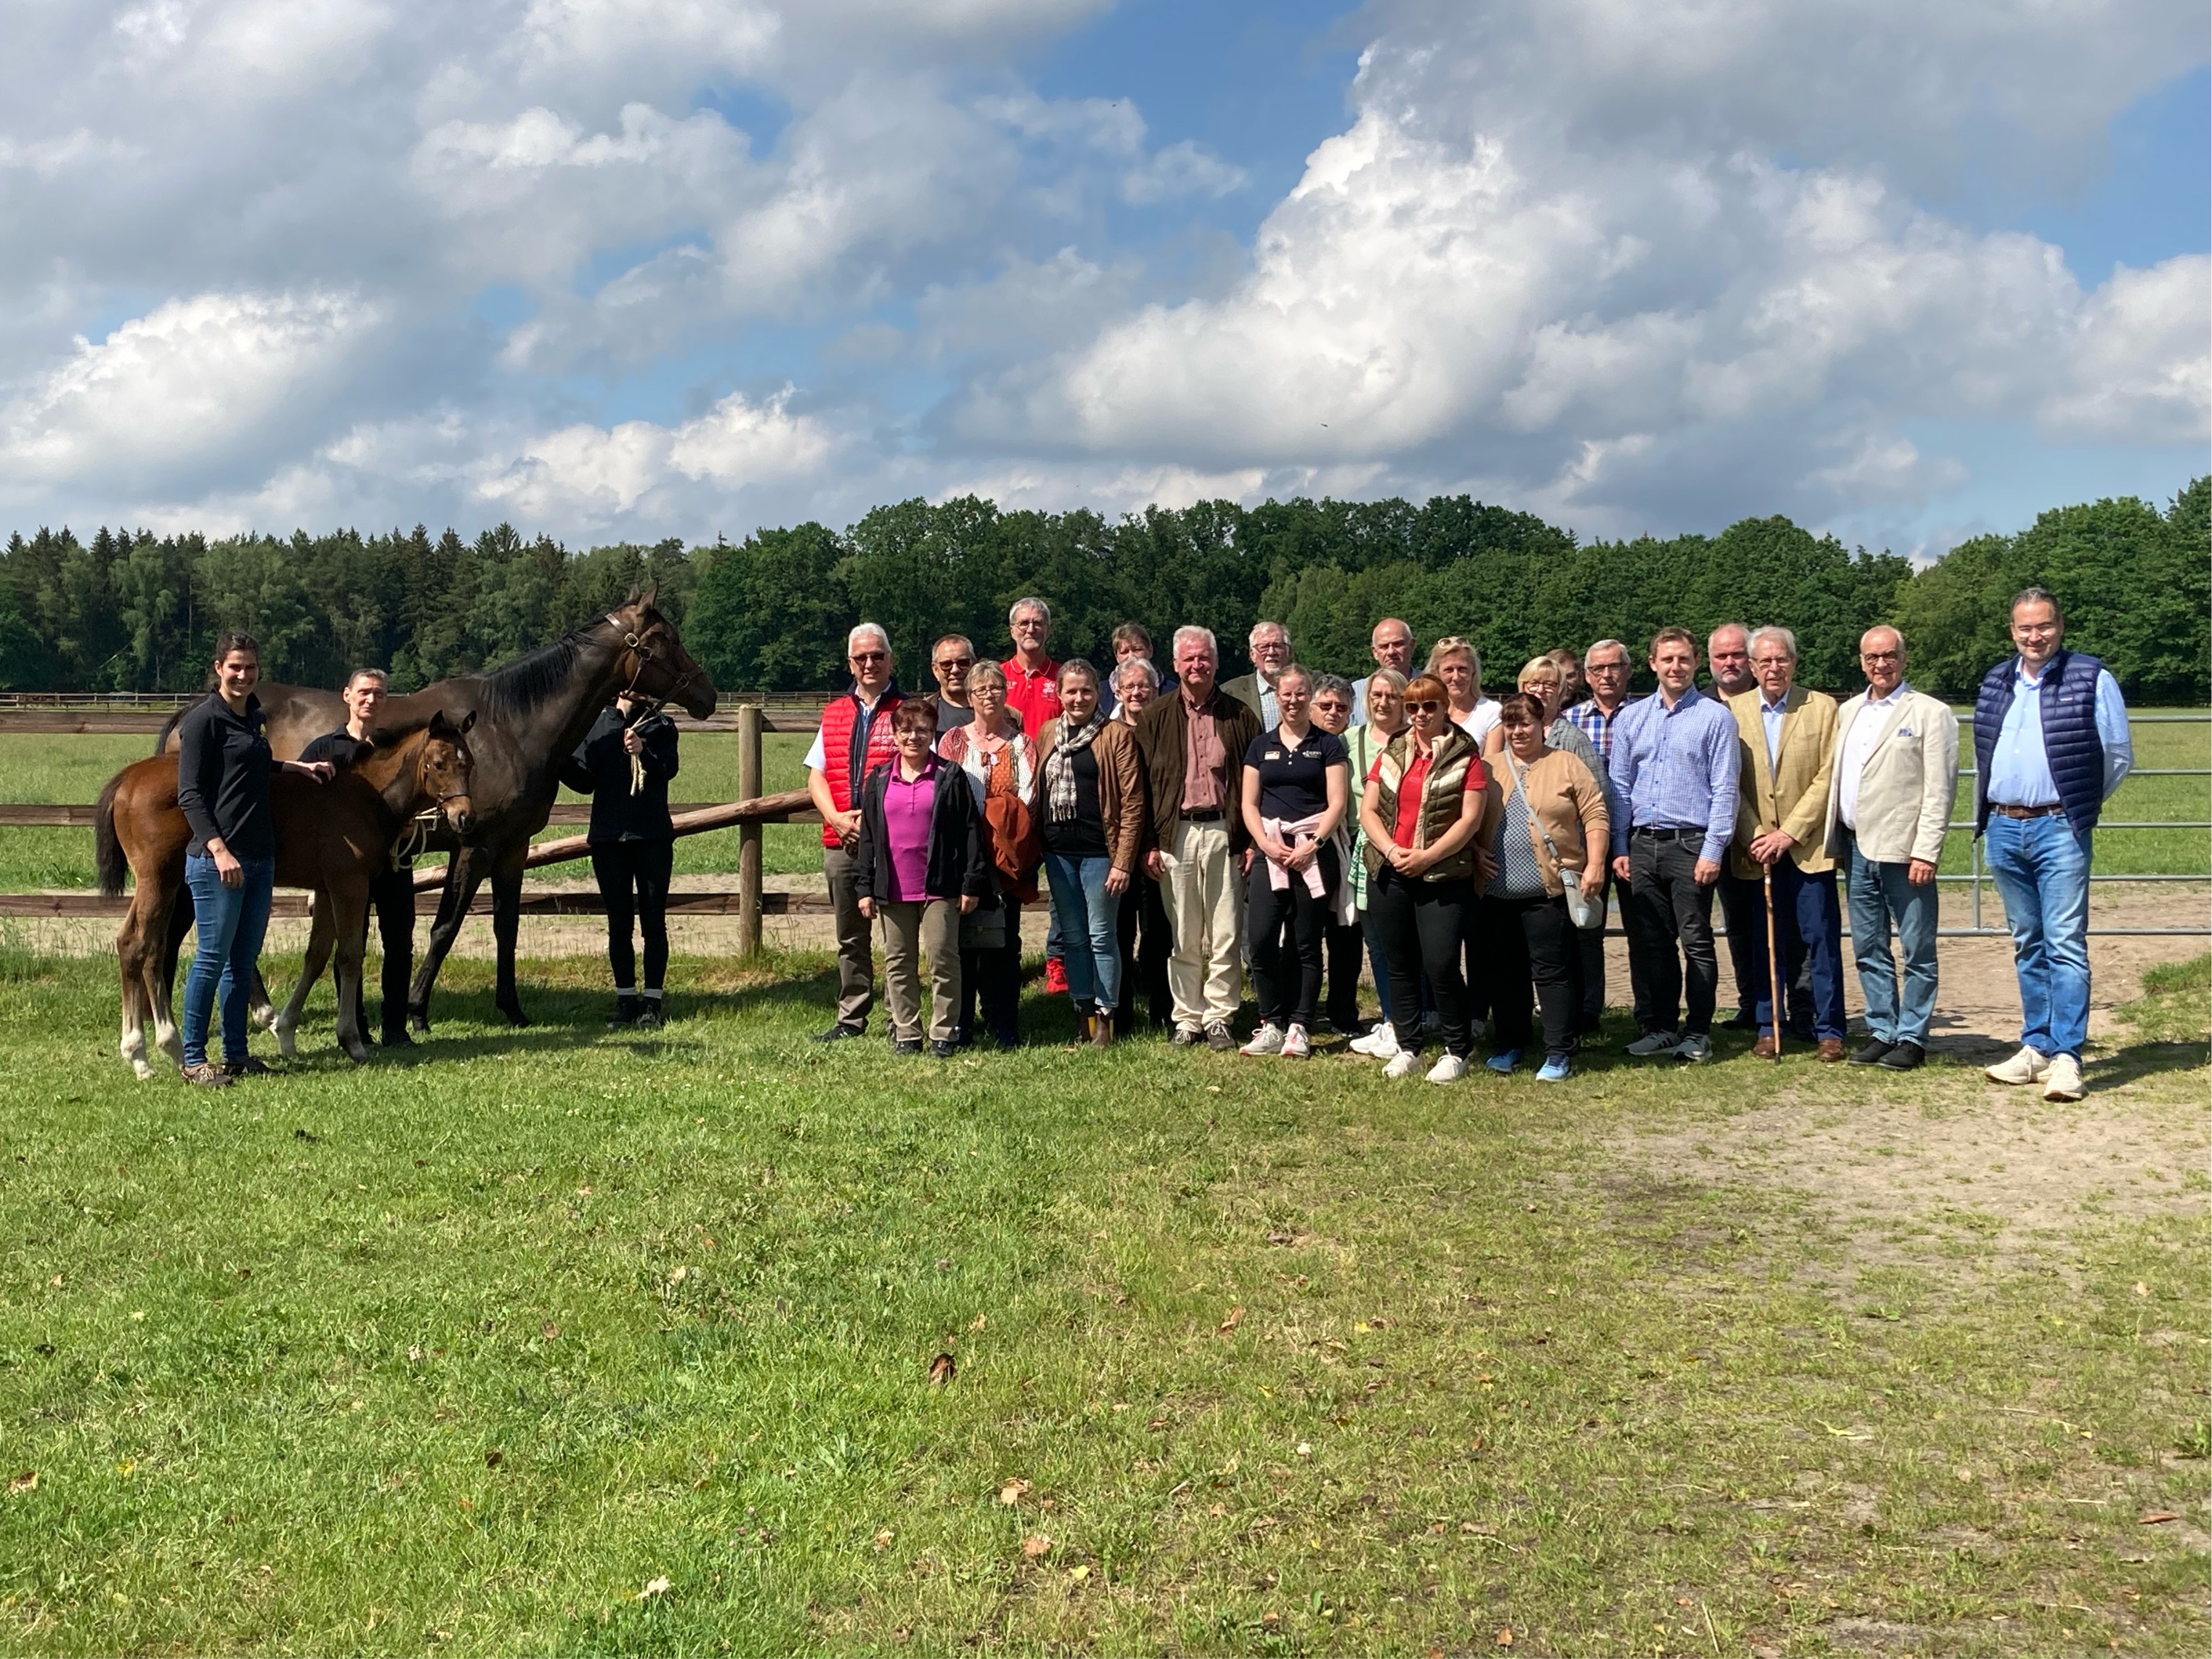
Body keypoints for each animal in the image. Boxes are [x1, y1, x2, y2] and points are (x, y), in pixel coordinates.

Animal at [98, 710, 478, 1075]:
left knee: (151, 946)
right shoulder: (350, 883)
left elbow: (317, 955)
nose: (464, 818)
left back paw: (166, 1049)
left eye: (470, 763)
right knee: (137, 943)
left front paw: (286, 1033)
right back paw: (143, 1053)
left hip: (174, 883)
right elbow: (350, 956)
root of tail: (127, 779)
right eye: (439, 763)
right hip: (159, 878)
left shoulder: (326, 888)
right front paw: (352, 1042)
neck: (364, 797)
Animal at [157, 590, 716, 1029]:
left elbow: (506, 927)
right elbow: (445, 927)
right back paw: (259, 1011)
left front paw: (512, 1009)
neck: (510, 727)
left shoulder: (513, 848)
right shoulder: (474, 844)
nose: (707, 694)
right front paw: (417, 1010)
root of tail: (193, 712)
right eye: (664, 639)